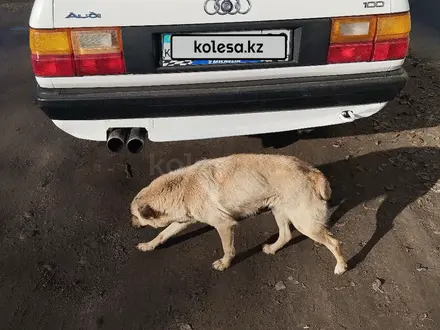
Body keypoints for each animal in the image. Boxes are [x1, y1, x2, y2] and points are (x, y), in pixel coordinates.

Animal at [130, 153, 348, 274]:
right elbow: (163, 234)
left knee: (334, 242)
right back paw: (273, 248)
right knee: (286, 235)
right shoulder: (182, 221)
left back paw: (341, 267)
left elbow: (228, 249)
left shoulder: (224, 225)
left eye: (134, 216)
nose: (131, 225)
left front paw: (224, 264)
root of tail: (312, 172)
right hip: (279, 211)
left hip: (305, 223)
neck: (182, 187)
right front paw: (149, 245)